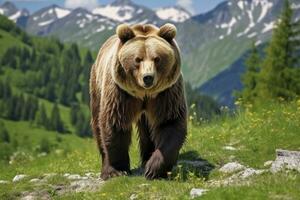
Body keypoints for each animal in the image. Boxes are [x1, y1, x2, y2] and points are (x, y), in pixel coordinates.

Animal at [89, 23, 188, 180]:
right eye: (137, 59)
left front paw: (154, 169)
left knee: (148, 127)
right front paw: (118, 170)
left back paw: (147, 158)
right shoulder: (120, 93)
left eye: (157, 58)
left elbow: (169, 122)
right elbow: (115, 123)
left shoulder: (166, 93)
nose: (148, 77)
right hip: (96, 84)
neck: (143, 93)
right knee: (97, 125)